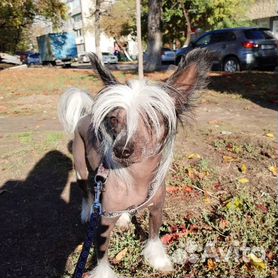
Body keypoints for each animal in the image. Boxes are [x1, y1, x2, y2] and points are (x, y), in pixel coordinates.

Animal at [58, 48, 211, 276]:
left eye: (151, 119)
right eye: (114, 119)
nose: (121, 149)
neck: (138, 176)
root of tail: (84, 117)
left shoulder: (156, 209)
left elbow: (154, 237)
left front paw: (158, 260)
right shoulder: (103, 224)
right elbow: (101, 257)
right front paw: (103, 273)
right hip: (81, 169)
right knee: (86, 192)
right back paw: (87, 211)